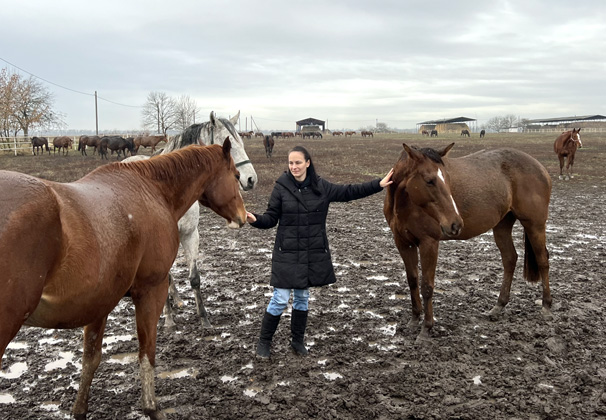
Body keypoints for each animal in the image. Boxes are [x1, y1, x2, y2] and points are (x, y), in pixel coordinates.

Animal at [0, 142, 247, 420]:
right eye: (236, 176)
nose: (243, 216)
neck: (152, 190)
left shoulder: (99, 303)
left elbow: (91, 359)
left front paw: (80, 410)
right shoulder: (152, 291)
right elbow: (147, 354)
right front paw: (151, 408)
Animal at [388, 143, 552, 342]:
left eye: (448, 178)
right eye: (429, 180)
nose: (455, 224)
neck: (405, 203)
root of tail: (540, 167)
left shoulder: (429, 243)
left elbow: (427, 286)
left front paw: (426, 329)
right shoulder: (403, 243)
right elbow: (412, 281)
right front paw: (413, 320)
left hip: (534, 225)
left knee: (542, 260)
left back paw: (546, 306)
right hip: (502, 226)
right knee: (510, 259)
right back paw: (499, 305)